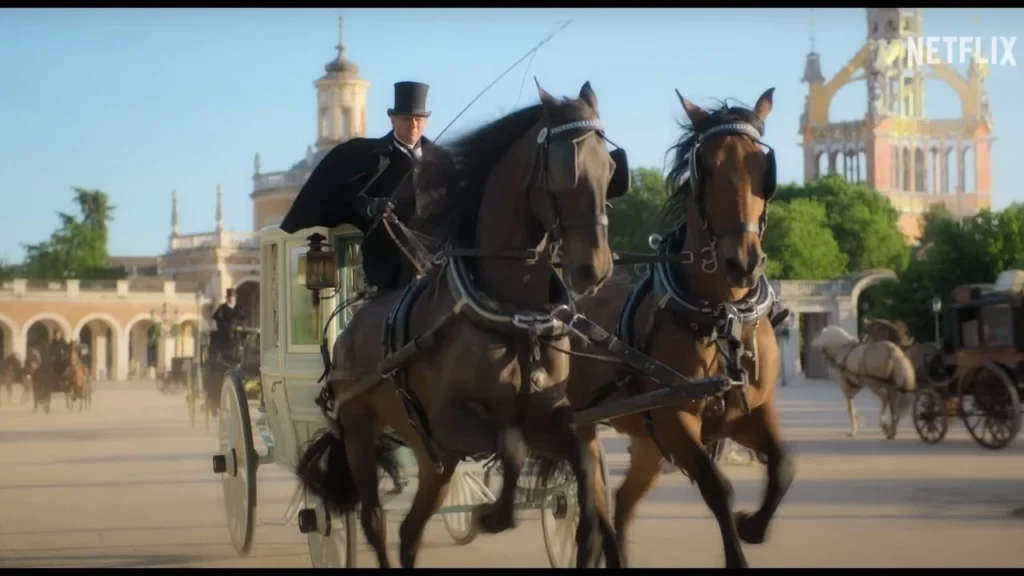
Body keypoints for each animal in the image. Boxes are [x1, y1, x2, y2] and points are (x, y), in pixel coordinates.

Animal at [296, 79, 626, 565]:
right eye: (563, 169)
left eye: (611, 168)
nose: (594, 269)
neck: (513, 312)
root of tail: (346, 330)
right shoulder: (454, 421)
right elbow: (511, 449)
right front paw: (490, 516)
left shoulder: (543, 419)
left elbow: (582, 460)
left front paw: (586, 534)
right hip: (360, 430)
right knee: (373, 519)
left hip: (433, 455)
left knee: (410, 530)